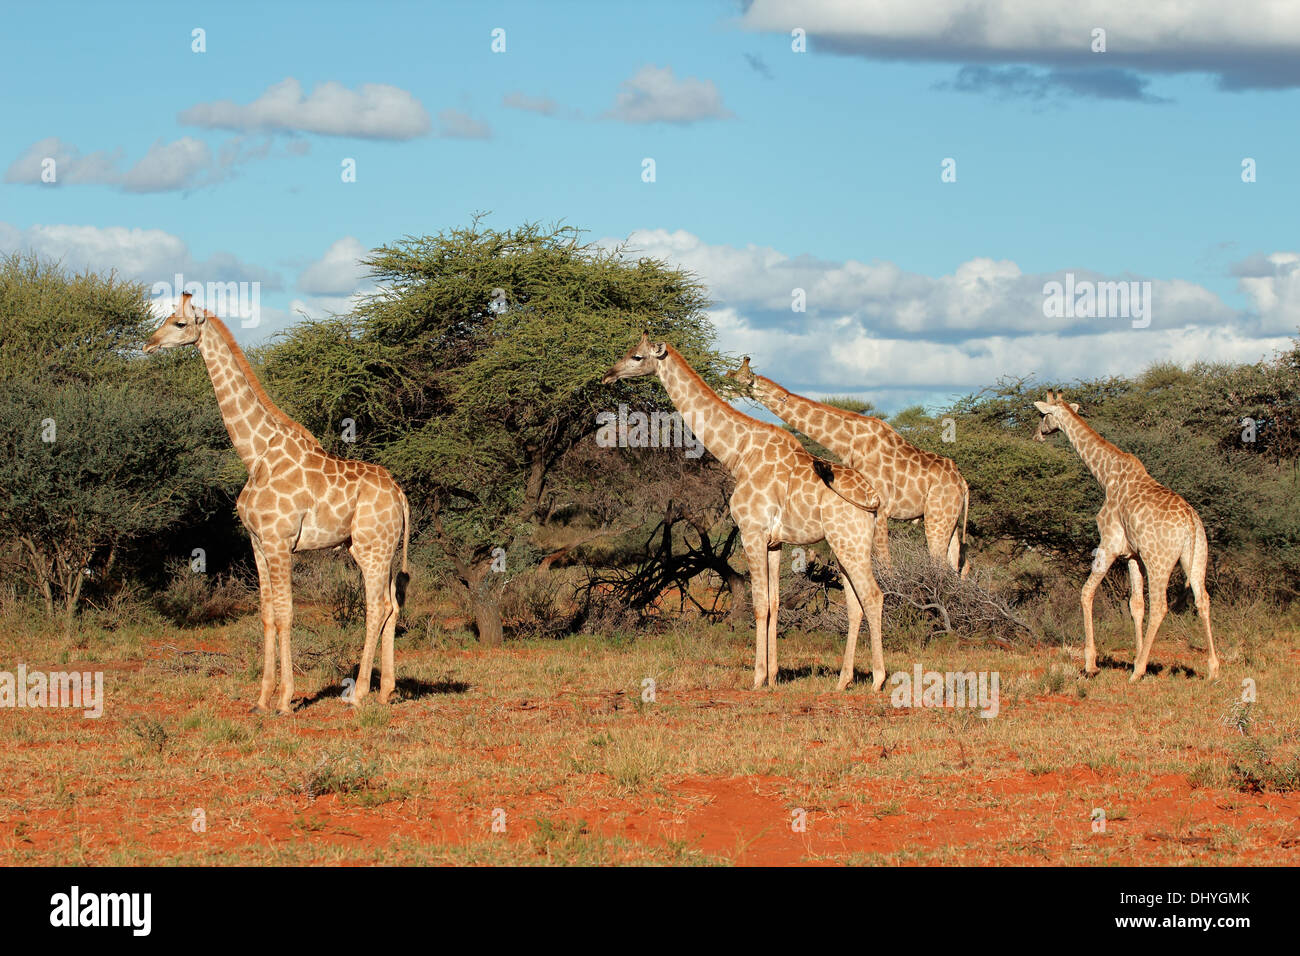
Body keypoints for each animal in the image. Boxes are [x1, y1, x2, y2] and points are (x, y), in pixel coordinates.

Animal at [141, 295, 408, 712]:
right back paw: (386, 691)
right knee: (392, 606)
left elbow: (285, 614)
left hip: (370, 548)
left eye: (180, 323)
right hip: (383, 547)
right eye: (166, 317)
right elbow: (266, 614)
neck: (255, 454)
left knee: (376, 607)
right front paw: (262, 698)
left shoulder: (281, 542)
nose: (148, 344)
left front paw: (284, 700)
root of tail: (400, 494)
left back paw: (359, 693)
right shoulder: (258, 543)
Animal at [603, 335, 889, 686]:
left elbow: (760, 604)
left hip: (850, 542)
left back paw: (877, 680)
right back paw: (843, 680)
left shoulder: (752, 532)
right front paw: (775, 676)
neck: (738, 453)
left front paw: (757, 678)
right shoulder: (775, 541)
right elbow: (776, 603)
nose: (608, 375)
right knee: (854, 603)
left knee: (873, 596)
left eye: (636, 356)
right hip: (844, 545)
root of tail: (875, 499)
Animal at [728, 356, 972, 572]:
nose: (723, 388)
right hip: (949, 519)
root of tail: (963, 483)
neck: (849, 443)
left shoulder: (881, 509)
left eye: (737, 380)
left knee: (940, 563)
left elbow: (885, 565)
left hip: (936, 516)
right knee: (959, 563)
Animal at [1034, 390, 1216, 681]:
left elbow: (1086, 592)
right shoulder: (1133, 555)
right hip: (1197, 556)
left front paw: (1092, 663)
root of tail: (1190, 522)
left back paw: (1137, 672)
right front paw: (1138, 656)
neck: (1106, 475)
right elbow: (1136, 604)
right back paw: (1212, 669)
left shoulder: (1109, 544)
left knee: (1161, 606)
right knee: (1202, 599)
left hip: (1159, 560)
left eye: (1042, 415)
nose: (1037, 435)